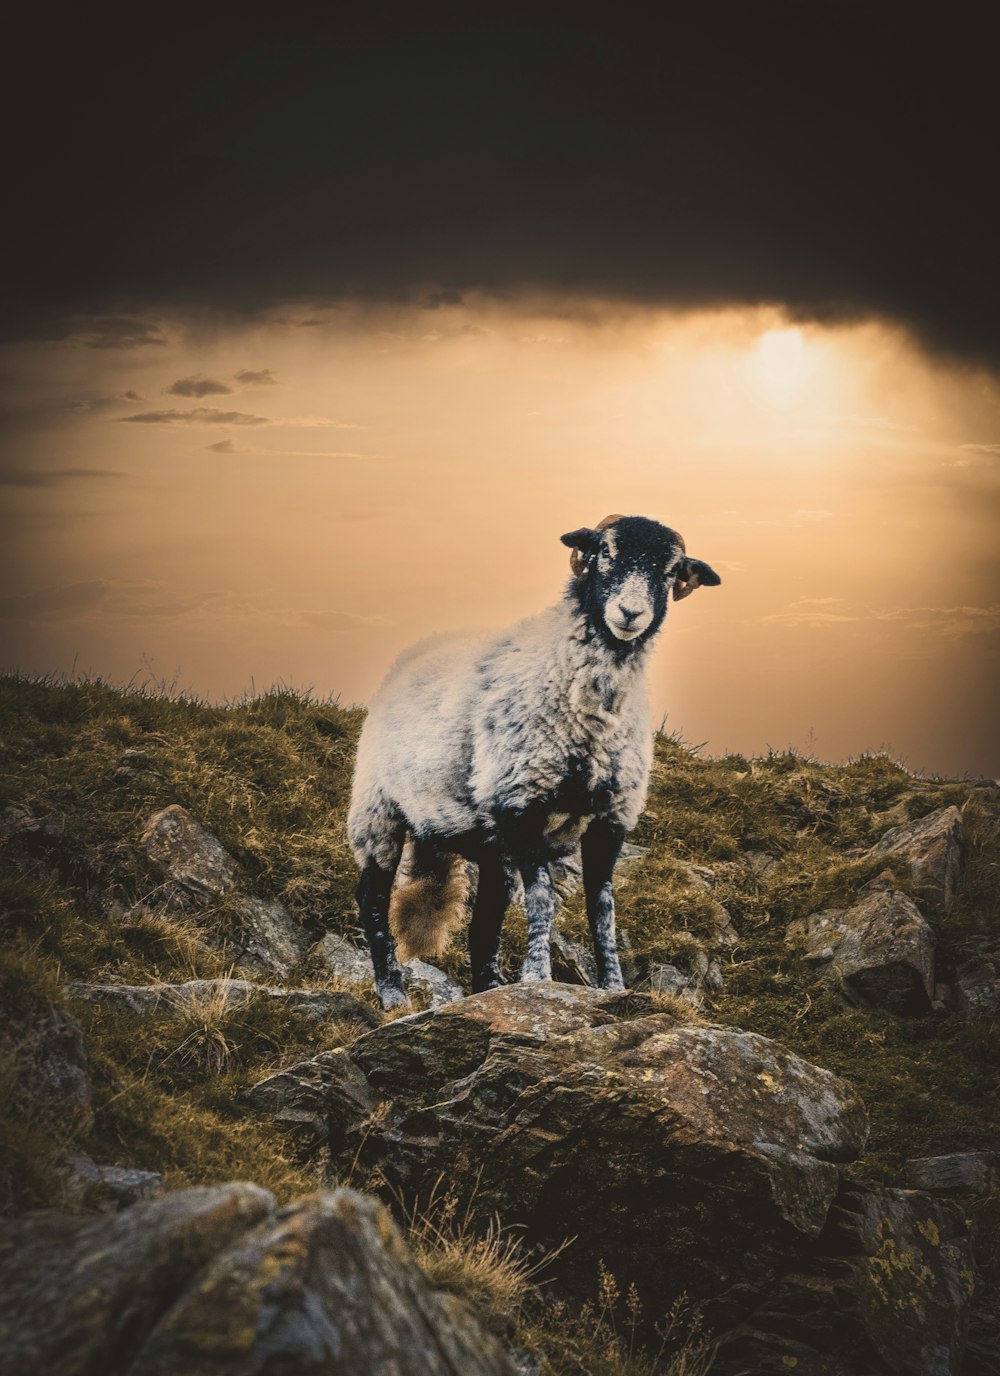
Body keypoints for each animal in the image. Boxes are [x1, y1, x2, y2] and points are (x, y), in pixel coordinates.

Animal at [346, 511, 720, 1007]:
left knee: (485, 922)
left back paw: (487, 990)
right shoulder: (521, 803)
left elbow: (603, 910)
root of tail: (416, 651)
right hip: (379, 811)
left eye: (670, 570)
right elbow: (543, 900)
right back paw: (392, 993)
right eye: (605, 551)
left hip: (487, 843)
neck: (591, 712)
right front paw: (538, 979)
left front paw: (613, 987)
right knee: (371, 899)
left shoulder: (611, 818)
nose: (629, 614)